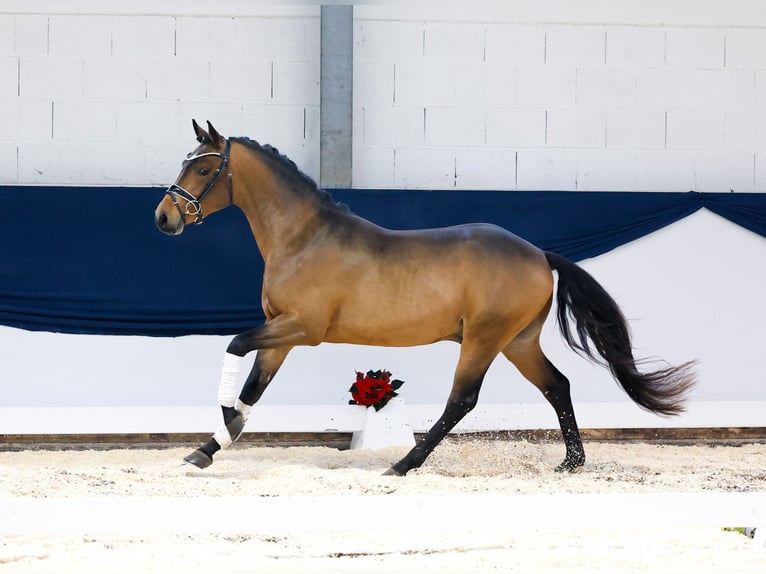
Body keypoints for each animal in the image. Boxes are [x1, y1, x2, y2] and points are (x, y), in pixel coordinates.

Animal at [153, 120, 700, 476]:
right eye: (184, 163)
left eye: (202, 170)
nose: (164, 218)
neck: (303, 237)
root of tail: (539, 254)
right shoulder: (282, 334)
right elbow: (253, 386)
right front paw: (208, 447)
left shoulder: (303, 329)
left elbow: (235, 349)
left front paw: (225, 423)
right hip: (517, 342)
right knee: (557, 386)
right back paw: (571, 462)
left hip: (483, 339)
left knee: (463, 400)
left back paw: (403, 464)